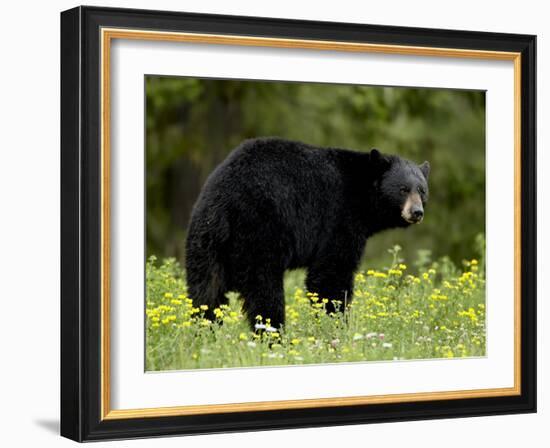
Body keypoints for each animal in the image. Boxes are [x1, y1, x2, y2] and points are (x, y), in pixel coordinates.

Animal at [185, 138, 432, 330]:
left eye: (421, 190)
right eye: (403, 189)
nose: (417, 212)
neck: (363, 196)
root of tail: (224, 202)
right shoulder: (339, 218)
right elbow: (331, 275)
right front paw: (336, 325)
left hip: (205, 241)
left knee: (205, 291)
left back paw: (206, 332)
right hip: (259, 233)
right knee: (264, 291)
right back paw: (274, 335)